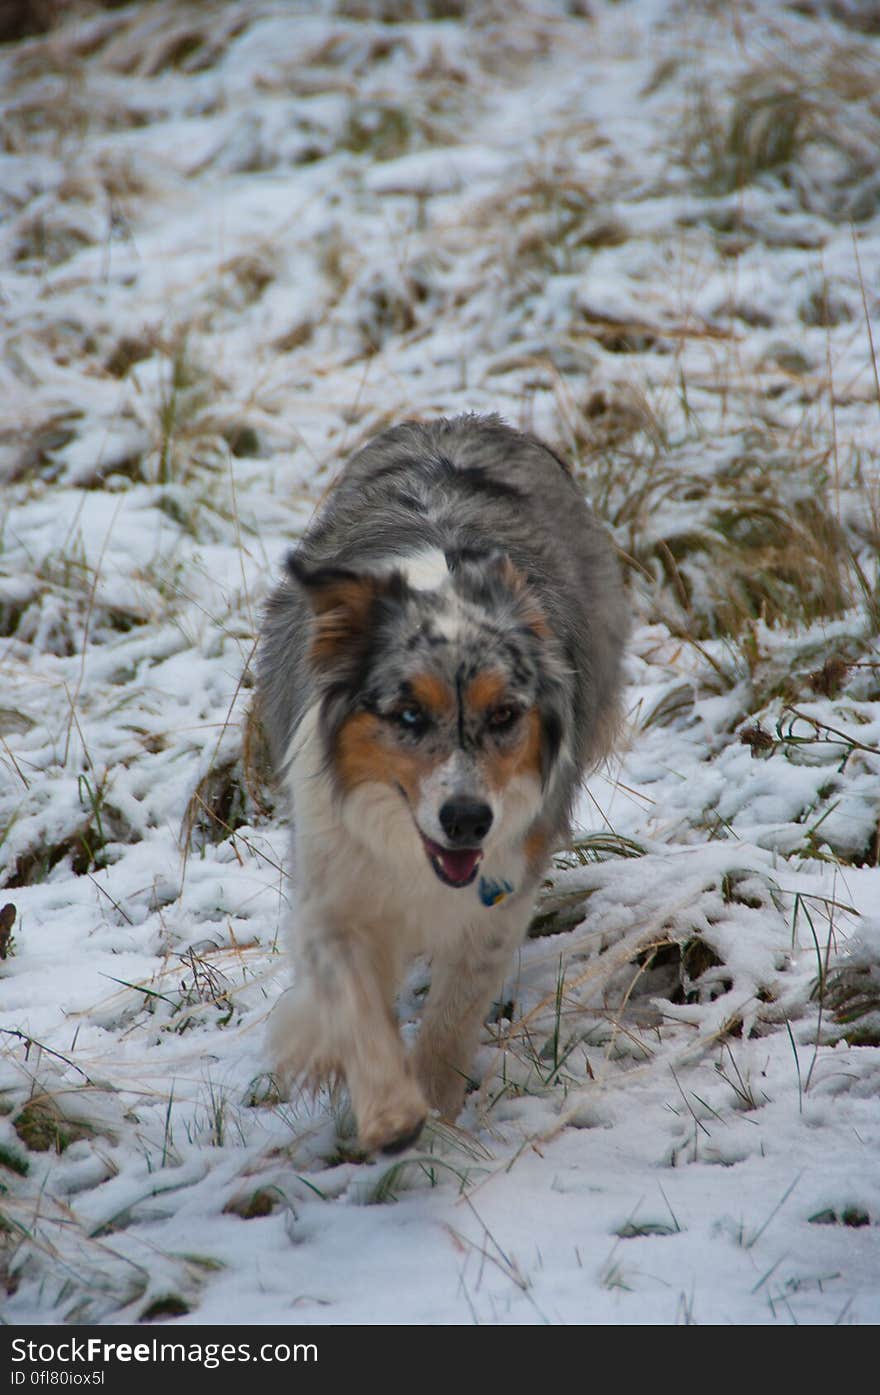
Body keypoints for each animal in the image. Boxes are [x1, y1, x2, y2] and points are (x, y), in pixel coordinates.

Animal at [258, 412, 630, 1155]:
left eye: (505, 715)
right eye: (408, 716)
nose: (466, 820)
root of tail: (454, 421)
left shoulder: (501, 892)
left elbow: (454, 1015)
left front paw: (434, 1119)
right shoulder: (333, 884)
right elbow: (351, 1001)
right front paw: (389, 1112)